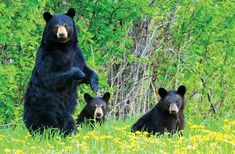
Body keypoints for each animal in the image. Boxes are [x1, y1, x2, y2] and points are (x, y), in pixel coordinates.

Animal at [23, 8, 98, 136]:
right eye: (56, 26)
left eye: (66, 25)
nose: (62, 34)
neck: (64, 47)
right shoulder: (47, 57)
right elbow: (50, 77)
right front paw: (79, 73)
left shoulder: (77, 54)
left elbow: (86, 69)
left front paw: (94, 85)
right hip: (46, 107)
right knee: (46, 124)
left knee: (68, 121)